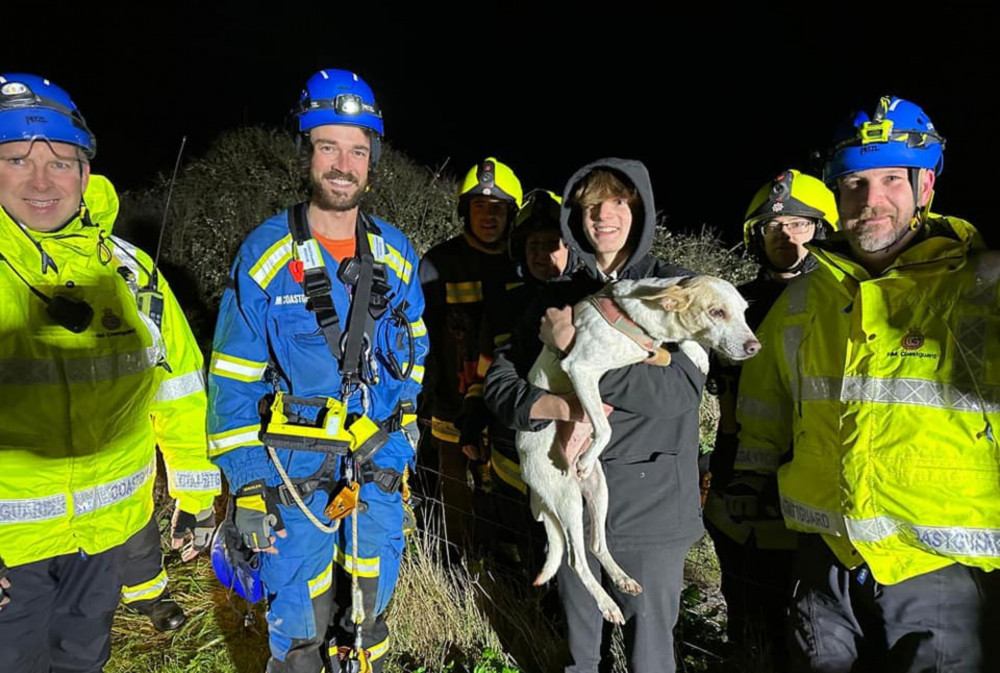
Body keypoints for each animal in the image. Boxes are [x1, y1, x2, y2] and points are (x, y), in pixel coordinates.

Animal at [520, 276, 760, 624]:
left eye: (743, 311)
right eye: (717, 312)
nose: (755, 347)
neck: (638, 320)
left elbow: (679, 344)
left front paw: (697, 355)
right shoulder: (581, 369)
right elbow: (604, 429)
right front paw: (589, 453)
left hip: (599, 490)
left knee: (596, 545)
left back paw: (621, 578)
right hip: (566, 498)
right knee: (577, 561)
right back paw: (607, 603)